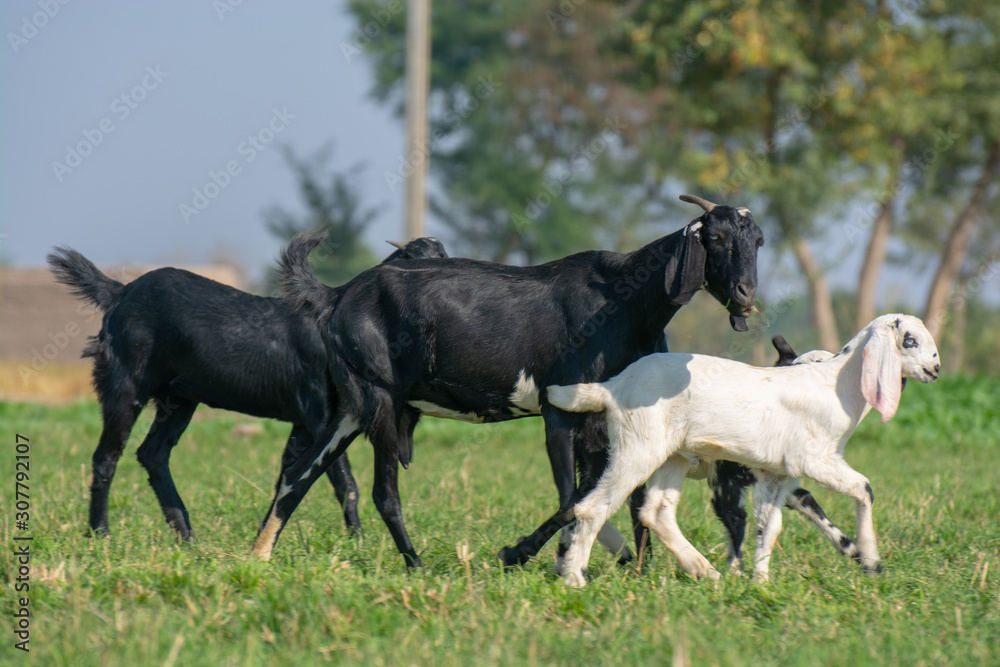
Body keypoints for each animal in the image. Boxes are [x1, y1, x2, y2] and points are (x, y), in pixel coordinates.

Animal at [252, 194, 764, 568]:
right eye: (714, 236)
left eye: (757, 240)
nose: (745, 293)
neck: (622, 302)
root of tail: (337, 294)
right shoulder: (559, 408)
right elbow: (570, 497)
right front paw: (521, 554)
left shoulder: (611, 417)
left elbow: (620, 492)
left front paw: (638, 566)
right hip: (380, 398)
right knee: (382, 492)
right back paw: (415, 565)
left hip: (349, 407)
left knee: (298, 474)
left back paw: (259, 555)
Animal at [548, 314, 936, 584]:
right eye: (910, 340)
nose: (935, 368)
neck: (835, 385)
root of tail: (612, 386)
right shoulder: (815, 460)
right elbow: (864, 488)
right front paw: (870, 558)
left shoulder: (776, 475)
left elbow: (769, 527)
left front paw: (760, 583)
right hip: (636, 450)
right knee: (590, 509)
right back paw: (574, 578)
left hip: (673, 457)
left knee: (655, 512)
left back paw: (704, 571)